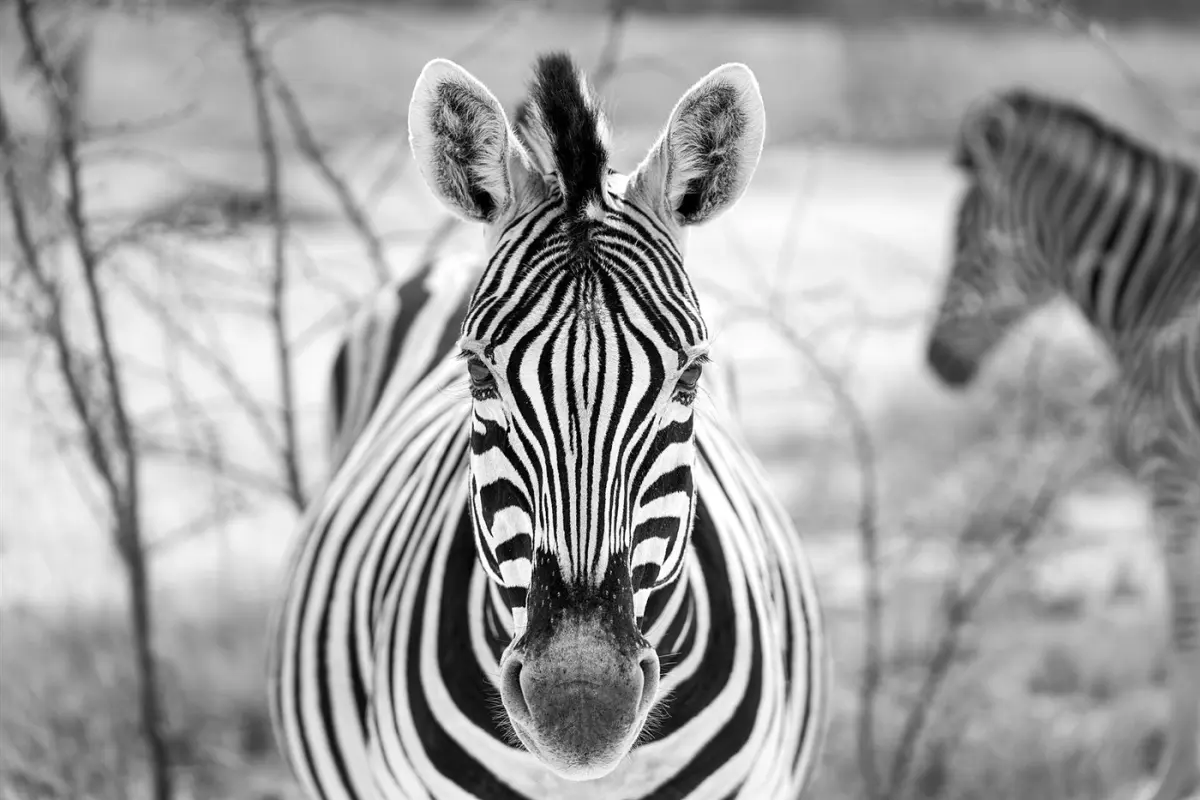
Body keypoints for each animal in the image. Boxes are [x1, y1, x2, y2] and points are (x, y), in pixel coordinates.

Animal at [924, 87, 1200, 800]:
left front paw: (1175, 780)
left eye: (964, 239)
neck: (1166, 289)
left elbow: (1184, 641)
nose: (935, 361)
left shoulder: (1173, 479)